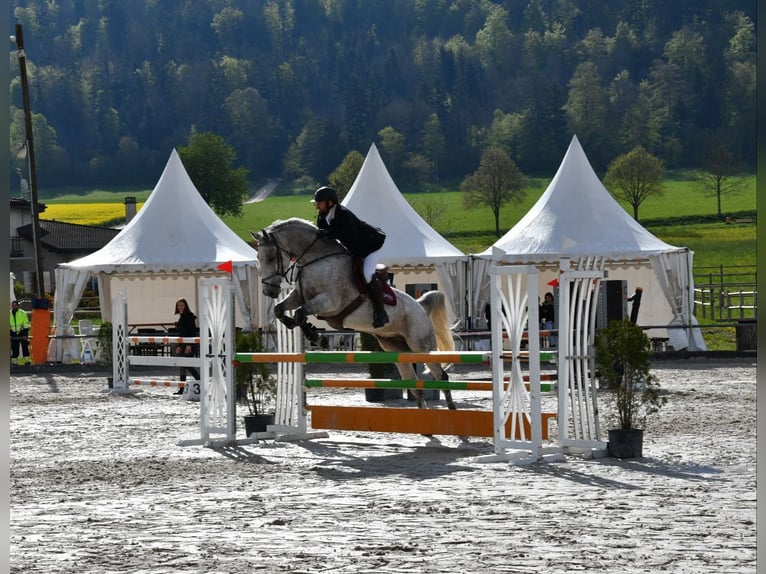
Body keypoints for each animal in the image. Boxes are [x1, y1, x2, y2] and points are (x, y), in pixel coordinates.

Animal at [252, 218, 460, 412]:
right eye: (258, 257)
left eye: (270, 257)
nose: (269, 292)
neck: (316, 260)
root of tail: (420, 306)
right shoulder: (299, 296)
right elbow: (281, 310)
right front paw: (300, 328)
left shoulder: (330, 302)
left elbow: (300, 313)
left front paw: (318, 338)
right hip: (397, 349)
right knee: (415, 385)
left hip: (420, 345)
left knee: (441, 376)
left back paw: (451, 412)